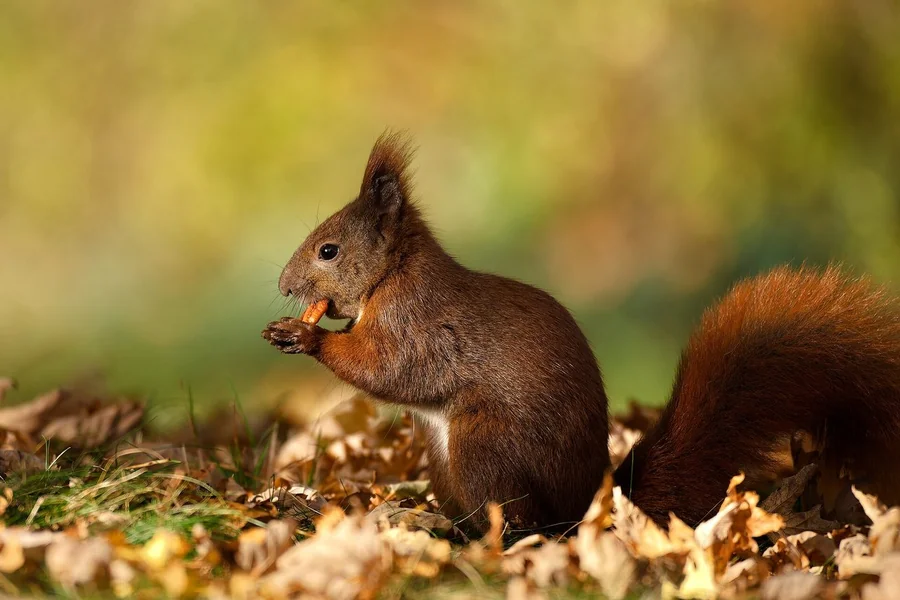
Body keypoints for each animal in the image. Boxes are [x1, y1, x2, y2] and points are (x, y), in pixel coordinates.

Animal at [263, 132, 900, 531]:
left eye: (328, 250)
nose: (282, 283)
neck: (393, 275)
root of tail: (587, 504)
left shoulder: (417, 321)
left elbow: (391, 368)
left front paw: (305, 336)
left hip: (483, 443)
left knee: (523, 522)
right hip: (446, 460)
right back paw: (436, 523)